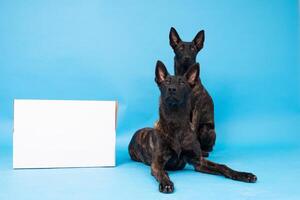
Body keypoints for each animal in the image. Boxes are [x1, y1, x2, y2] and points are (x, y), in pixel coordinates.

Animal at [127, 61, 256, 194]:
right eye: (166, 82)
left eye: (182, 83)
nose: (171, 89)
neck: (176, 122)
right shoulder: (157, 164)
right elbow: (163, 173)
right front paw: (166, 183)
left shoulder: (199, 162)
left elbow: (222, 166)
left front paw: (243, 174)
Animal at [169, 27, 216, 157]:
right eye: (180, 48)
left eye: (193, 49)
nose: (187, 57)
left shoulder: (196, 109)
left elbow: (193, 129)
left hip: (206, 129)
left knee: (209, 146)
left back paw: (204, 151)